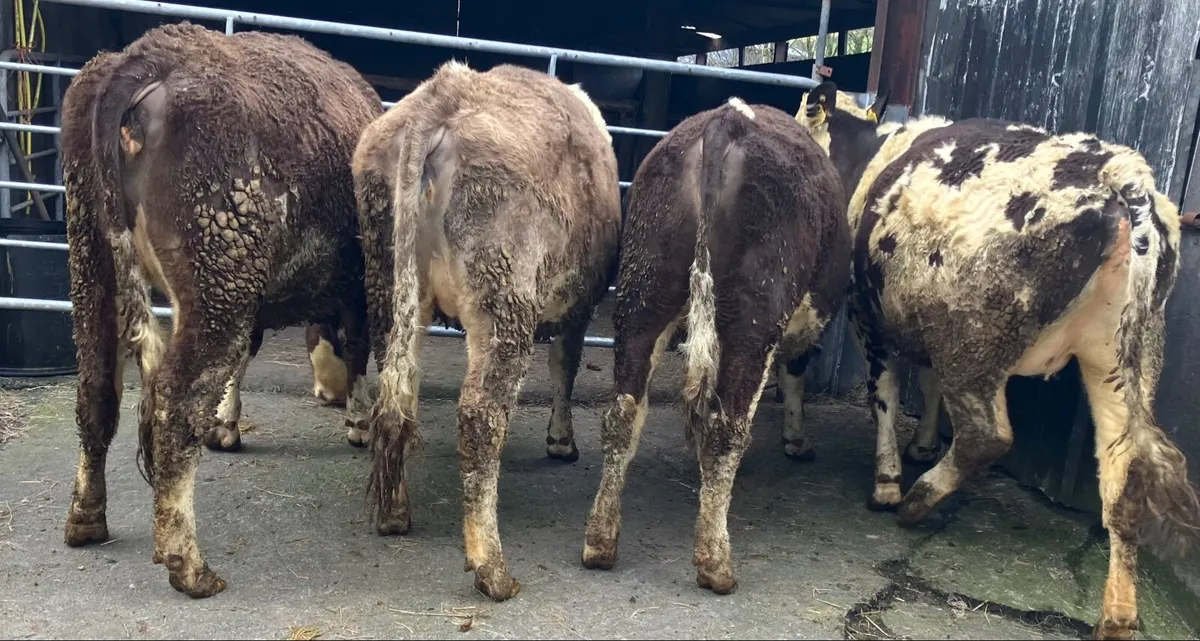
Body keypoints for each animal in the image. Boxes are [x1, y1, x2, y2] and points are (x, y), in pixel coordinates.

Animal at [60, 22, 383, 598]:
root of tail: (148, 56)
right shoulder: (354, 287)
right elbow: (355, 345)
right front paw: (358, 420)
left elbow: (247, 354)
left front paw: (226, 425)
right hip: (219, 275)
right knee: (176, 400)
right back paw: (187, 564)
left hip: (92, 261)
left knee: (96, 389)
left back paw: (86, 519)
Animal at [354, 60, 622, 601]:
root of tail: (443, 95)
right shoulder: (581, 304)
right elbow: (565, 364)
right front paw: (561, 441)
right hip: (504, 296)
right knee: (480, 415)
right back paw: (492, 569)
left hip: (388, 281)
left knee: (398, 392)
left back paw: (395, 512)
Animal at [581, 97, 851, 594]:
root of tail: (727, 121)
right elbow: (793, 376)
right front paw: (797, 440)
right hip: (756, 313)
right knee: (728, 427)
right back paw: (715, 563)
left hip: (643, 290)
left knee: (623, 413)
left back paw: (600, 541)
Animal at [798, 81, 1200, 640]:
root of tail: (1122, 177)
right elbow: (927, 382)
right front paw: (923, 445)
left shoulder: (868, 314)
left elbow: (886, 393)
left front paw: (888, 480)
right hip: (1123, 361)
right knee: (1124, 475)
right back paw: (1119, 614)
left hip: (975, 339)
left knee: (987, 435)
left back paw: (918, 500)